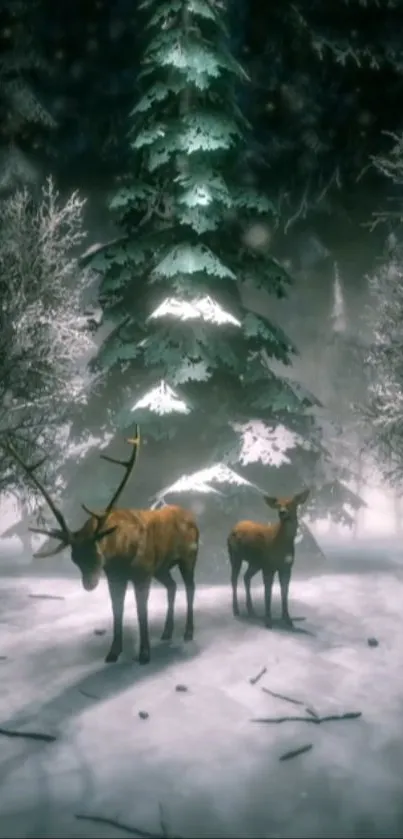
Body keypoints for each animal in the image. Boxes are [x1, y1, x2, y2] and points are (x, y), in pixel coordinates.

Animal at [3, 430, 199, 668]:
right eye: (74, 558)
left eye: (97, 553)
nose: (89, 584)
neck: (120, 555)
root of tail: (193, 518)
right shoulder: (114, 576)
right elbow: (117, 610)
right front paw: (113, 652)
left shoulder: (142, 573)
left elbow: (141, 611)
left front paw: (144, 654)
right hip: (161, 567)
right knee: (172, 586)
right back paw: (166, 632)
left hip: (188, 556)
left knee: (190, 587)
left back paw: (188, 632)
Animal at [229, 492, 310, 632]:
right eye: (278, 504)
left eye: (291, 503)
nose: (282, 512)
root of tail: (233, 528)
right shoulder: (268, 566)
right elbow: (268, 593)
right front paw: (268, 621)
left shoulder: (287, 567)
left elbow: (285, 592)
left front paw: (288, 620)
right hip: (236, 556)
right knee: (234, 579)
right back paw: (236, 610)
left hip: (255, 562)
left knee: (246, 577)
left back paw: (251, 610)